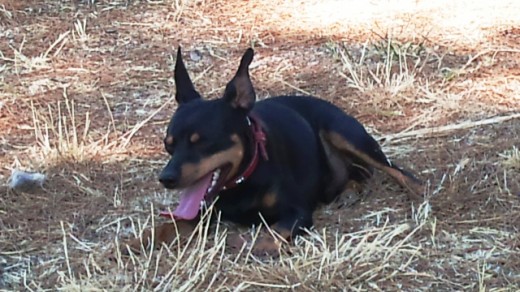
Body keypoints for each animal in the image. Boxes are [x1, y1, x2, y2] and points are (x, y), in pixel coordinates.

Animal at [126, 47, 422, 256]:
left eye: (203, 141)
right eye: (168, 144)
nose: (166, 178)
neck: (242, 180)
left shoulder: (298, 212)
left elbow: (278, 228)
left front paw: (262, 246)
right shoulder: (202, 213)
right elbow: (168, 225)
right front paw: (136, 241)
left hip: (346, 133)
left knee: (394, 170)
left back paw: (416, 191)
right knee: (359, 175)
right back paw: (349, 191)